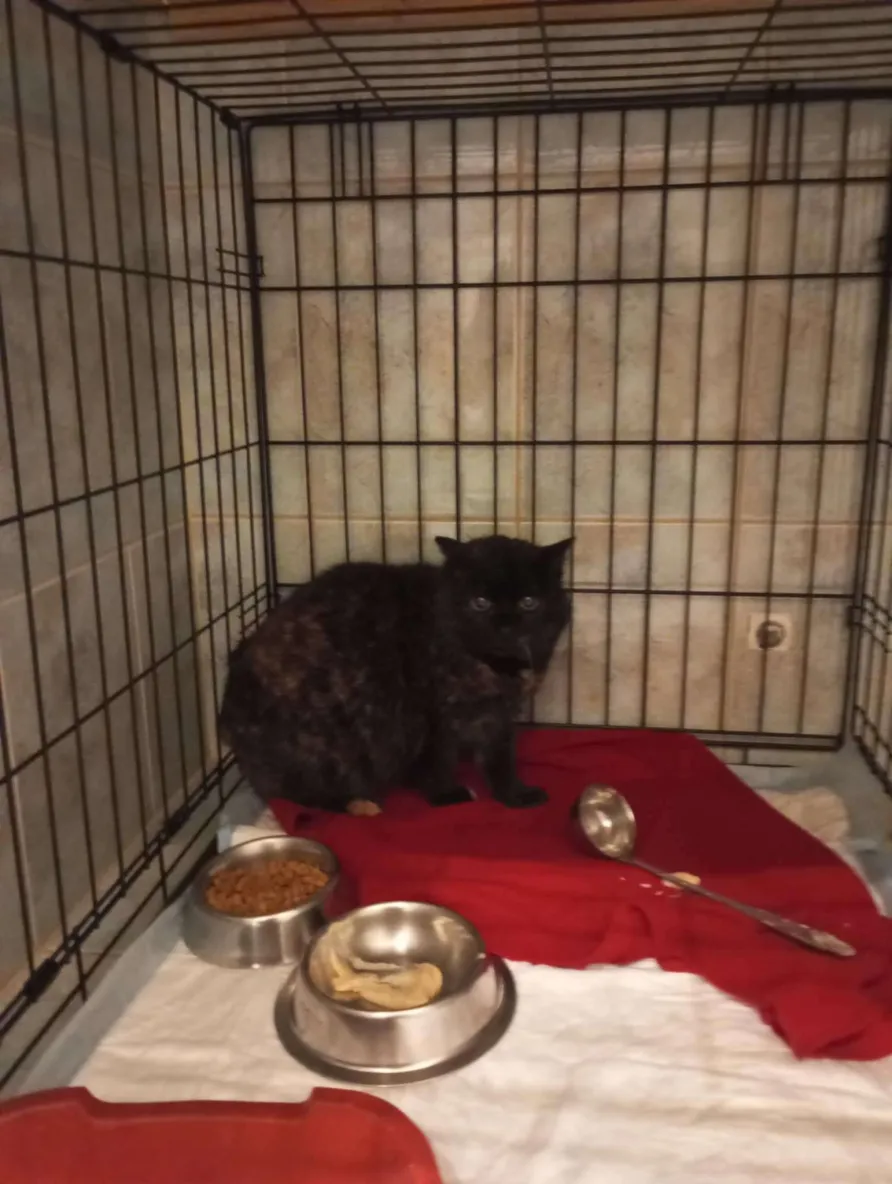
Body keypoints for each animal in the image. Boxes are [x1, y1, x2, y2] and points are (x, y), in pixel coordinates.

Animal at [218, 534, 572, 813]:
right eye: (480, 602)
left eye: (529, 602)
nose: (505, 626)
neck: (490, 670)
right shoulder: (430, 716)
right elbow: (438, 760)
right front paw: (446, 795)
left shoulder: (498, 714)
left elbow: (501, 757)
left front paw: (514, 795)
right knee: (292, 796)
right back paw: (356, 803)